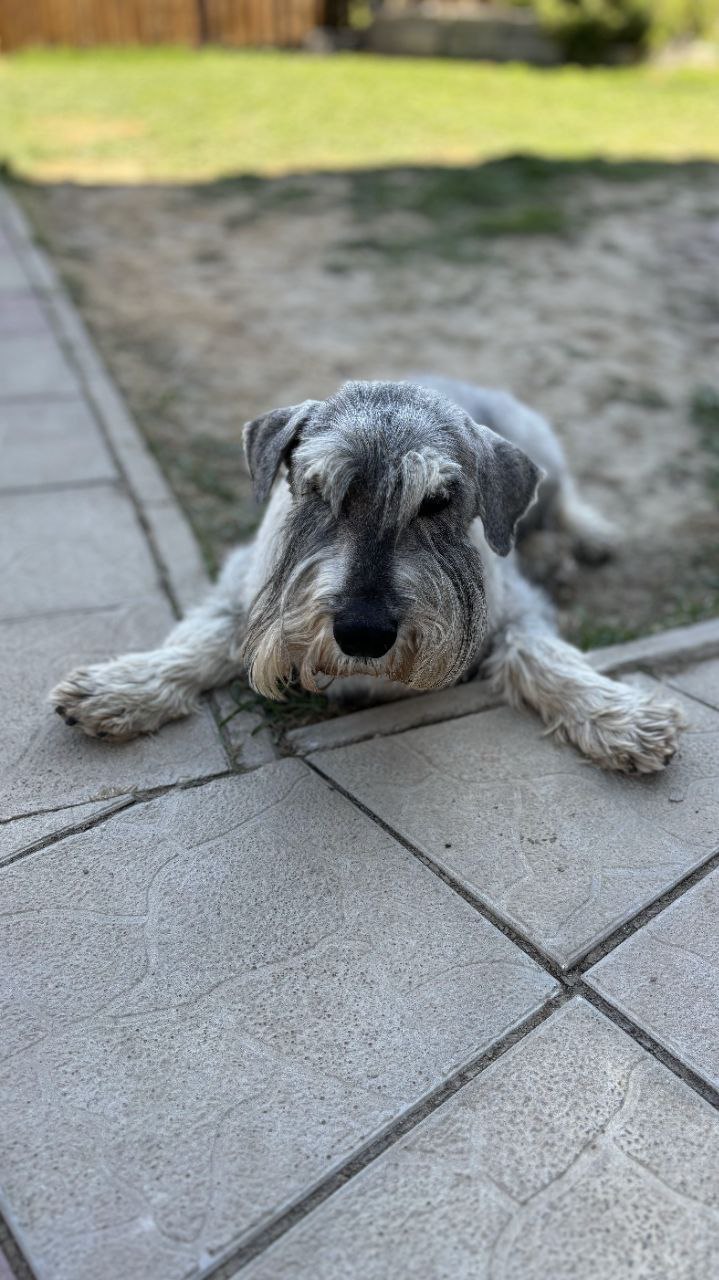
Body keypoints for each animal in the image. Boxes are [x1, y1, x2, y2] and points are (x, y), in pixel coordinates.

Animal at [50, 377, 685, 773]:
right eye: (316, 487)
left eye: (437, 501)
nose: (363, 633)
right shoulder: (239, 586)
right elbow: (200, 637)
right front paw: (124, 687)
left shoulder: (520, 608)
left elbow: (541, 655)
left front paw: (619, 716)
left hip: (541, 455)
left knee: (559, 500)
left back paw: (589, 537)